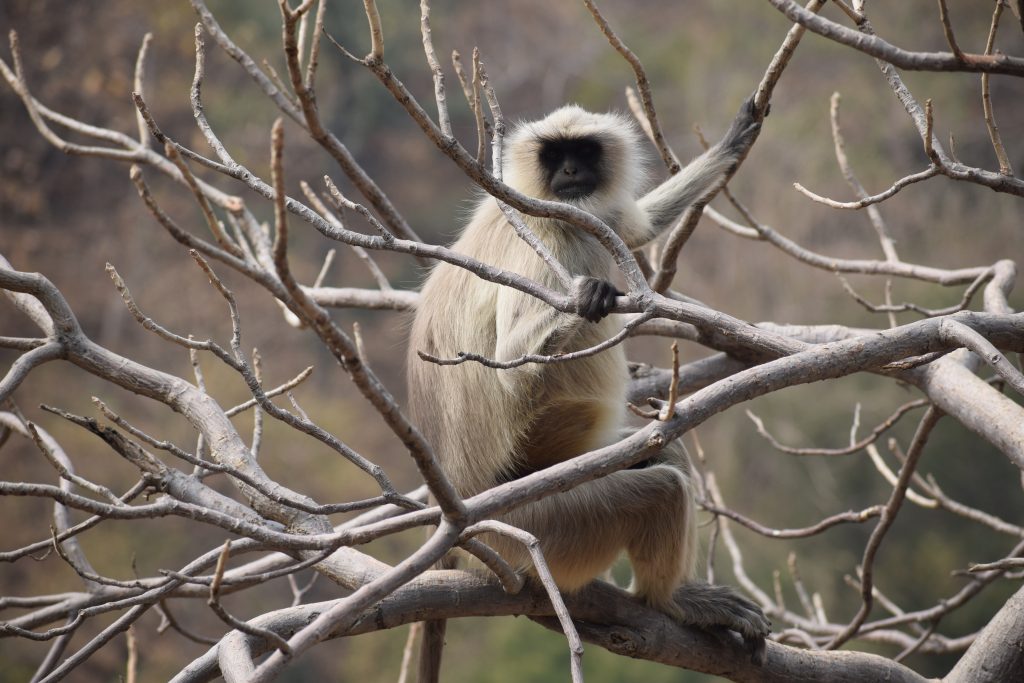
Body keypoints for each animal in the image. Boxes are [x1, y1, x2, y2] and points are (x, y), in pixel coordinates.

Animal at [407, 96, 770, 679]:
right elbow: (511, 363)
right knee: (660, 489)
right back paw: (671, 601)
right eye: (556, 156)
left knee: (666, 458)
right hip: (540, 528)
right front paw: (587, 298)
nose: (571, 172)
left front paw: (736, 139)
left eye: (583, 151)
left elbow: (635, 226)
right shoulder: (543, 235)